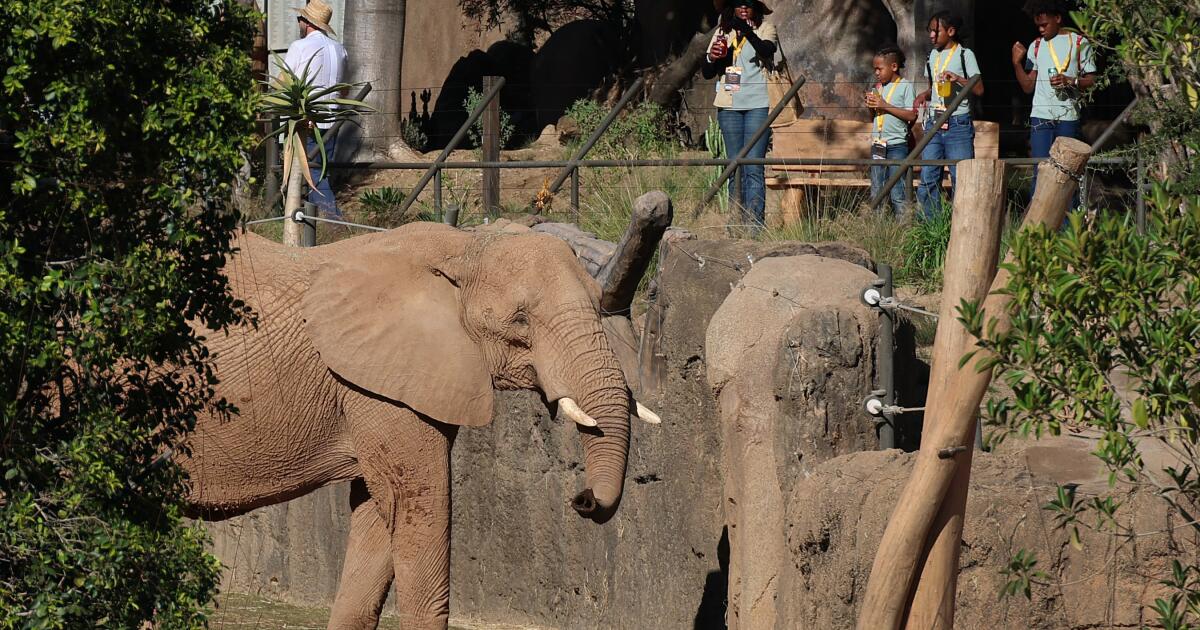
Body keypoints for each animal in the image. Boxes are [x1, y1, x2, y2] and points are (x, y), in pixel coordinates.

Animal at [184, 222, 660, 629]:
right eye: (520, 320)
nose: (582, 499)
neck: (463, 246)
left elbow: (379, 516)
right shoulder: (379, 384)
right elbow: (418, 502)